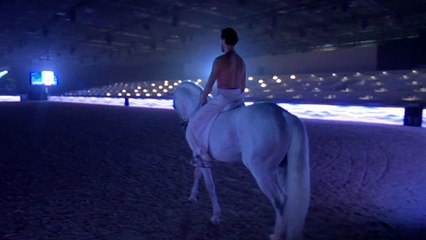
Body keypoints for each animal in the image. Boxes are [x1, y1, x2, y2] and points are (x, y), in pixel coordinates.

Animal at [172, 81, 310, 239]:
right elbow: (197, 174)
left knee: (280, 201)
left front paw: (215, 217)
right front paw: (192, 196)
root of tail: (284, 114)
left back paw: (276, 235)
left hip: (262, 172)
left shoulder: (201, 154)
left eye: (174, 105)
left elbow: (209, 185)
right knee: (288, 199)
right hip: (281, 168)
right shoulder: (201, 156)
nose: (183, 124)